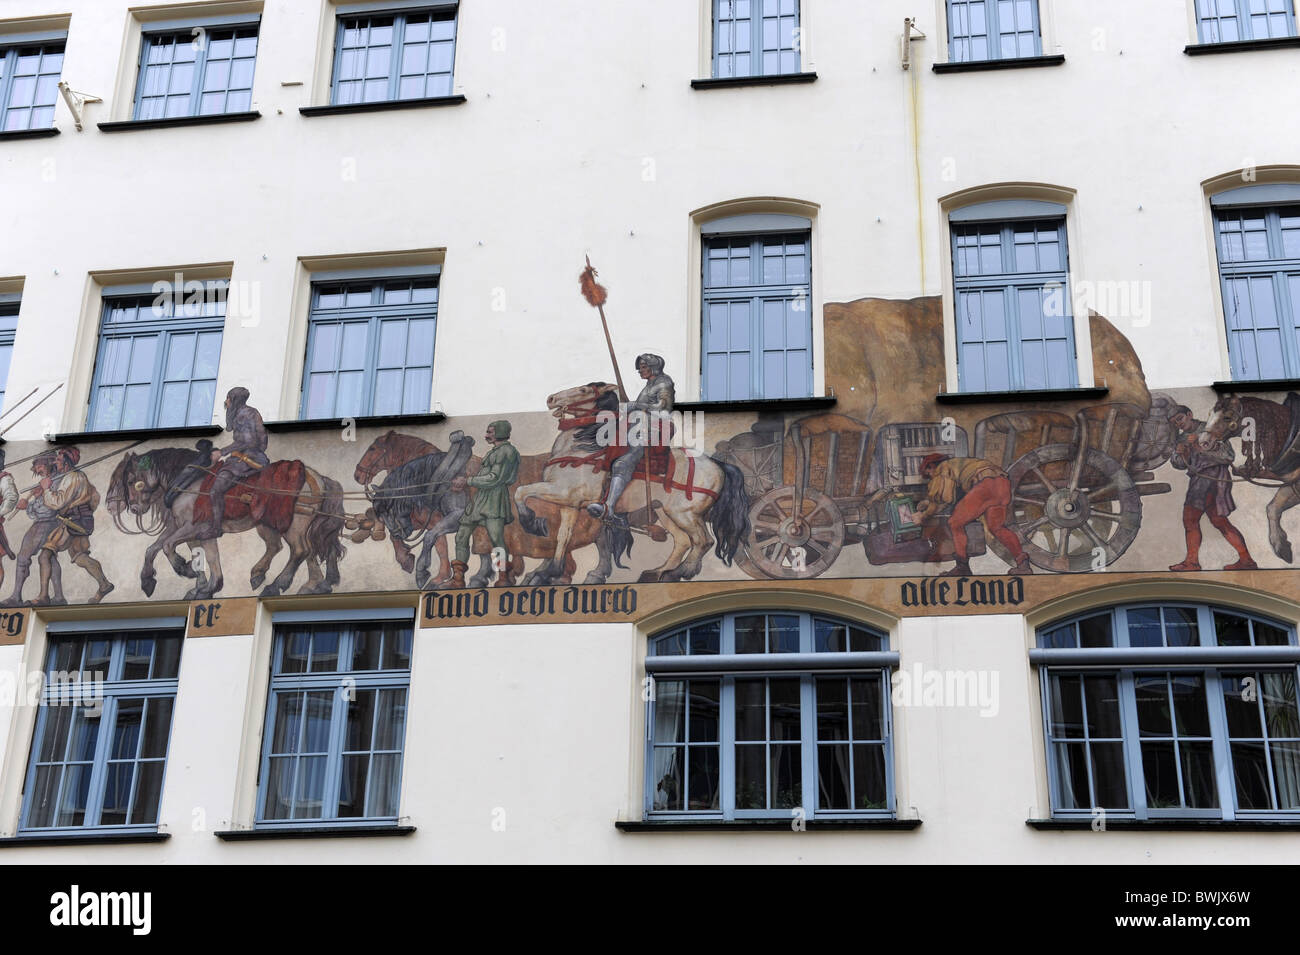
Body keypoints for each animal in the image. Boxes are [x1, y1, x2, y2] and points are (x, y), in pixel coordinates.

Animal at [105, 446, 345, 597]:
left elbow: (168, 546)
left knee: (301, 550)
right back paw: (309, 583)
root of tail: (318, 478)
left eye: (128, 481)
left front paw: (187, 571)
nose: (115, 507)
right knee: (297, 548)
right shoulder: (189, 529)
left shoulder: (195, 527)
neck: (189, 482)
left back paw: (277, 585)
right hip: (273, 524)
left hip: (293, 524)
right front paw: (203, 587)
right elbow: (165, 550)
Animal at [351, 428, 608, 587]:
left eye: (373, 449)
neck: (441, 474)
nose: (357, 475)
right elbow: (445, 544)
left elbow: (435, 540)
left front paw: (426, 572)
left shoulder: (450, 517)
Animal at [509, 382, 754, 582]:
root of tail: (718, 465)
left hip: (686, 514)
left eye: (584, 390)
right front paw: (549, 572)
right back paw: (659, 572)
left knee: (703, 541)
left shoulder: (564, 493)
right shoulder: (569, 505)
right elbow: (563, 536)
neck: (581, 449)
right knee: (683, 541)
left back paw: (680, 572)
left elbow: (521, 491)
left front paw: (530, 522)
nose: (551, 398)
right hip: (665, 512)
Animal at [1201, 394, 1300, 563]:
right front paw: (1282, 547)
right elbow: (1273, 508)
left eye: (1227, 417)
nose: (1203, 442)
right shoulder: (1293, 485)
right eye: (1209, 414)